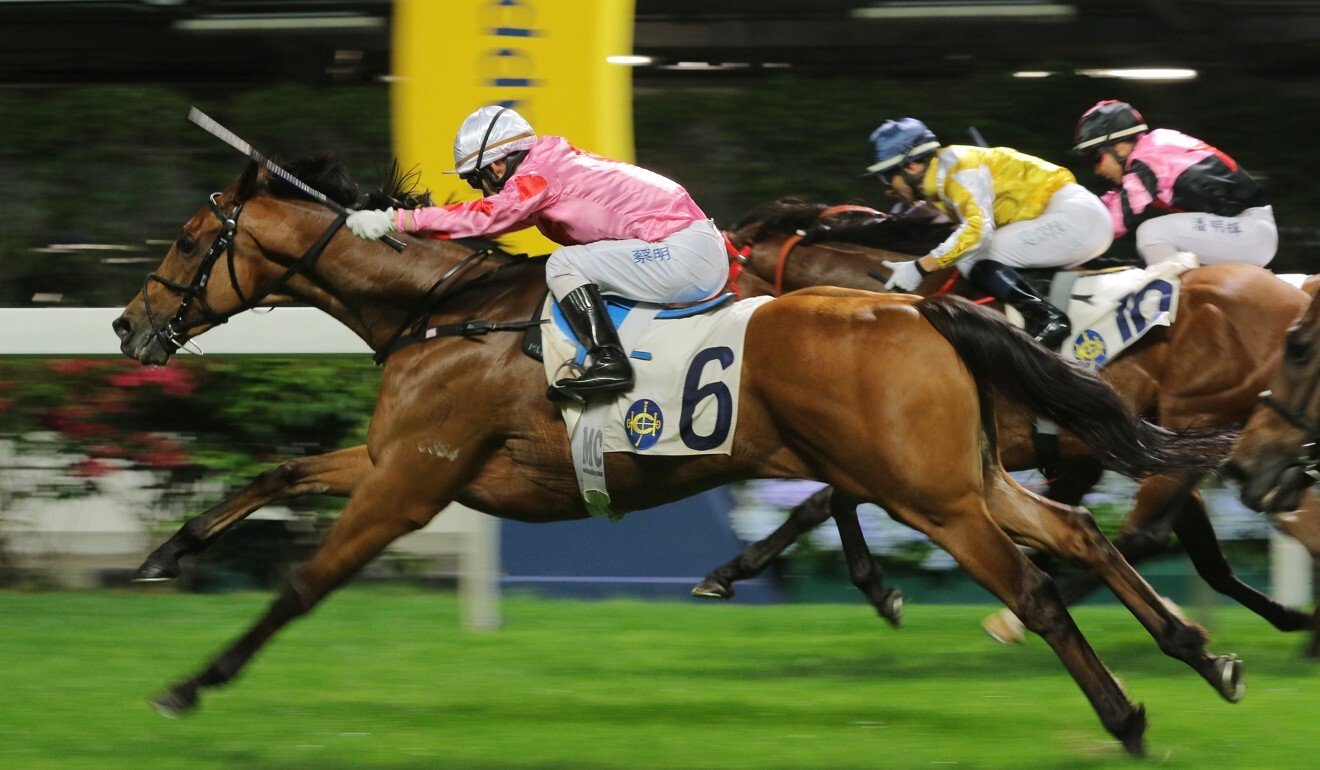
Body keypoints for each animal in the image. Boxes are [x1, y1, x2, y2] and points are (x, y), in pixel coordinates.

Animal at [116, 156, 1246, 755]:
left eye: (190, 241)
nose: (130, 327)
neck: (445, 311)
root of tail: (918, 308)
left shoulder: (414, 479)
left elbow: (304, 580)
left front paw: (191, 683)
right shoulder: (403, 455)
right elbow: (276, 475)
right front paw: (163, 555)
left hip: (927, 491)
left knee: (1036, 582)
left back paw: (1129, 713)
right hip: (963, 474)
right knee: (1080, 534)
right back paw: (1208, 653)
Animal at [712, 199, 1320, 644]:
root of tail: (1294, 294)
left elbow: (827, 500)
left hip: (1202, 413)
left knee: (1147, 531)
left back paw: (1016, 612)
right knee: (1182, 538)